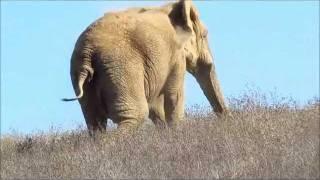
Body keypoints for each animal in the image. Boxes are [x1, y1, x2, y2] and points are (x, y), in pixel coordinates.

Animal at [63, 0, 228, 135]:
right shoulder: (175, 56)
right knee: (135, 114)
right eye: (205, 35)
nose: (225, 120)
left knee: (95, 123)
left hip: (83, 73)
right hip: (122, 67)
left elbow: (156, 106)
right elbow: (174, 96)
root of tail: (87, 53)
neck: (168, 7)